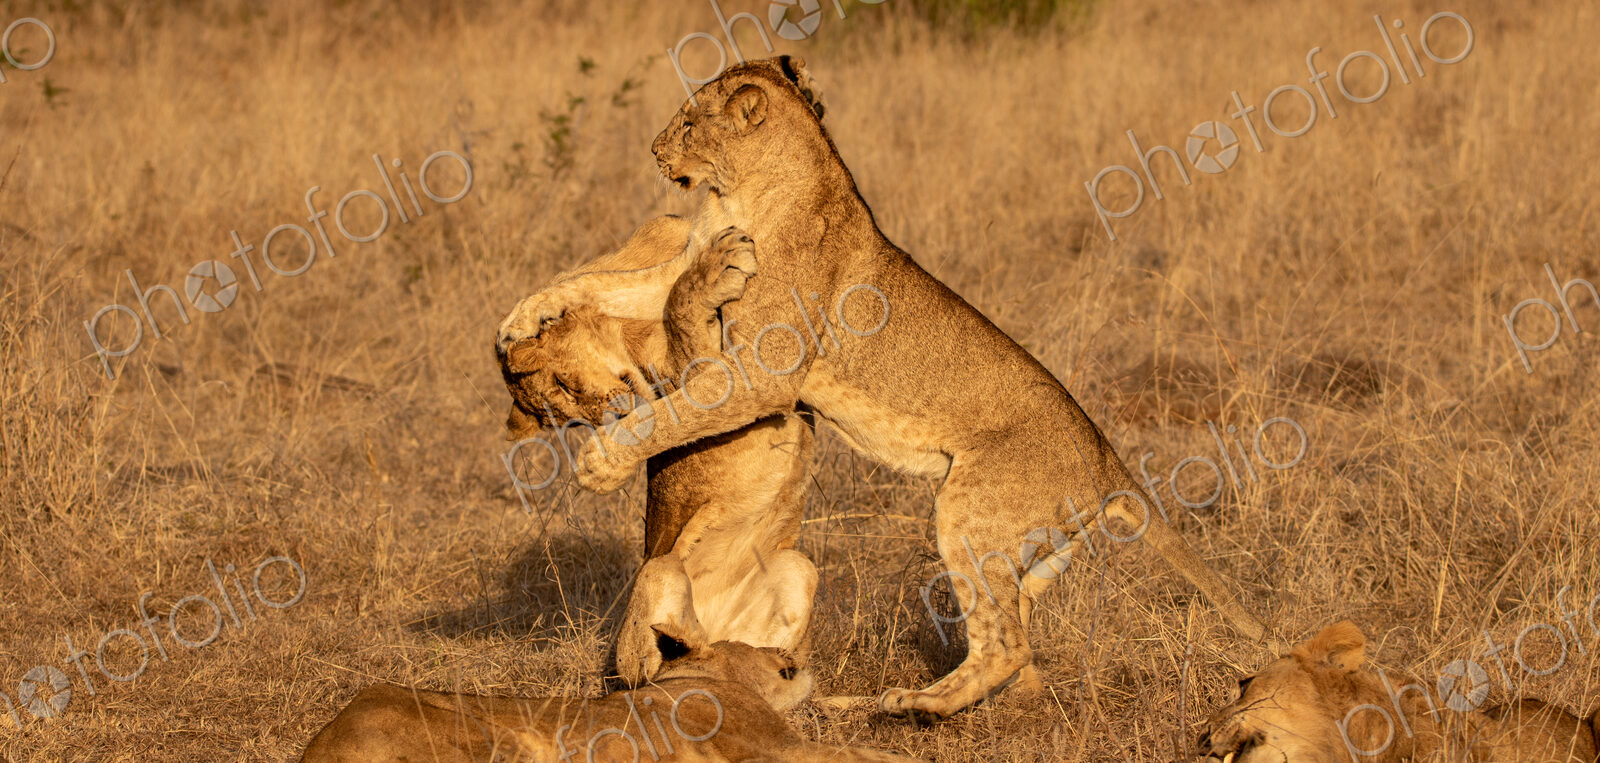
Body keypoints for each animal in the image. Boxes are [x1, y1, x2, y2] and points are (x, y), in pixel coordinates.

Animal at [500, 217, 818, 687]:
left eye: (564, 386)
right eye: (569, 419)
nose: (611, 416)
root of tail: (718, 631)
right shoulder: (700, 374)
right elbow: (682, 310)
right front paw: (718, 266)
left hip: (797, 570)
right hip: (657, 574)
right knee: (658, 667)